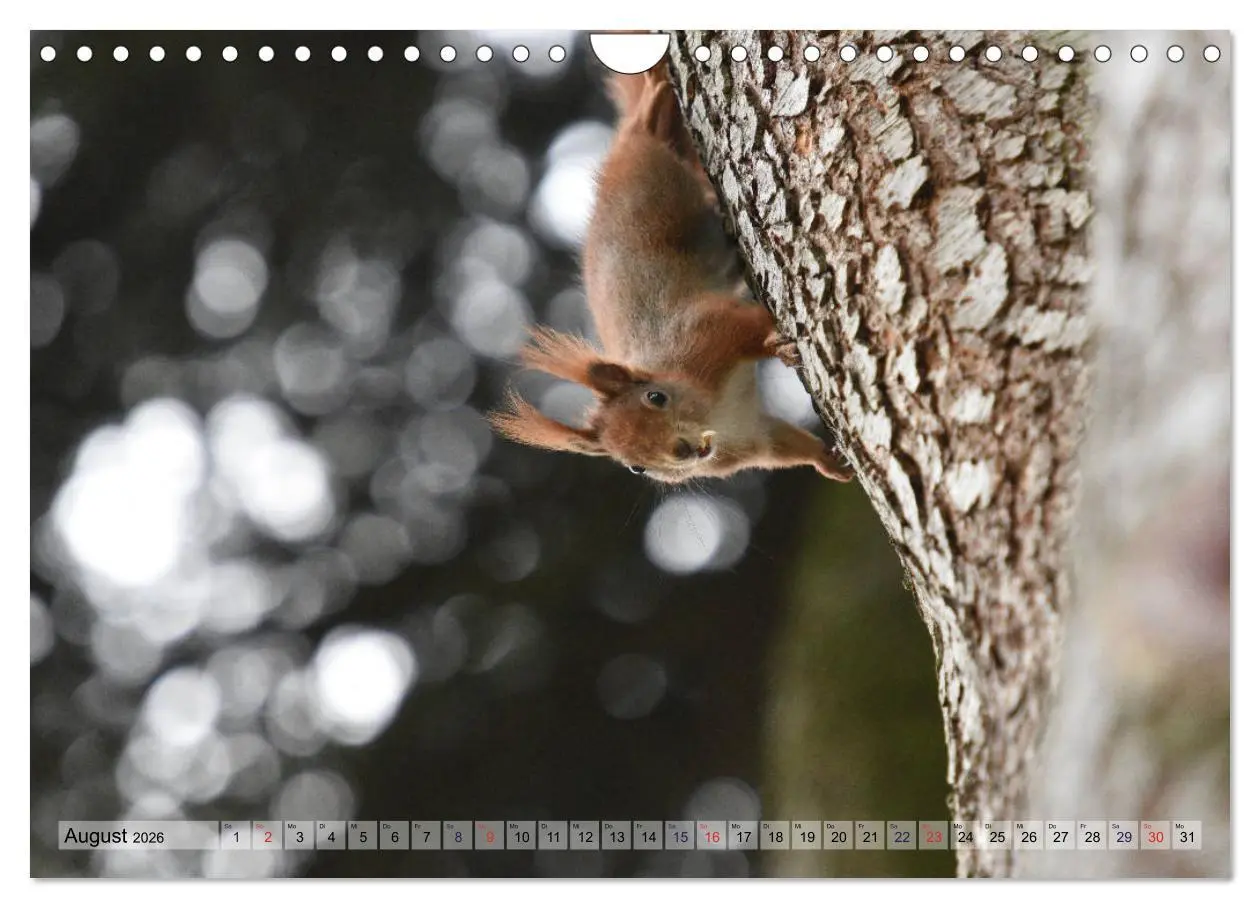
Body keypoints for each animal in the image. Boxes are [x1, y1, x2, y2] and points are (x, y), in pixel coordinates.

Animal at [490, 61, 853, 484]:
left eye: (656, 397)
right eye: (636, 467)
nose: (681, 451)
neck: (714, 412)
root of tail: (623, 142)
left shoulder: (707, 331)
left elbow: (747, 323)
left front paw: (776, 345)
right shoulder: (749, 437)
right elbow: (782, 444)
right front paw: (828, 462)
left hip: (658, 184)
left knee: (654, 120)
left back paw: (656, 96)